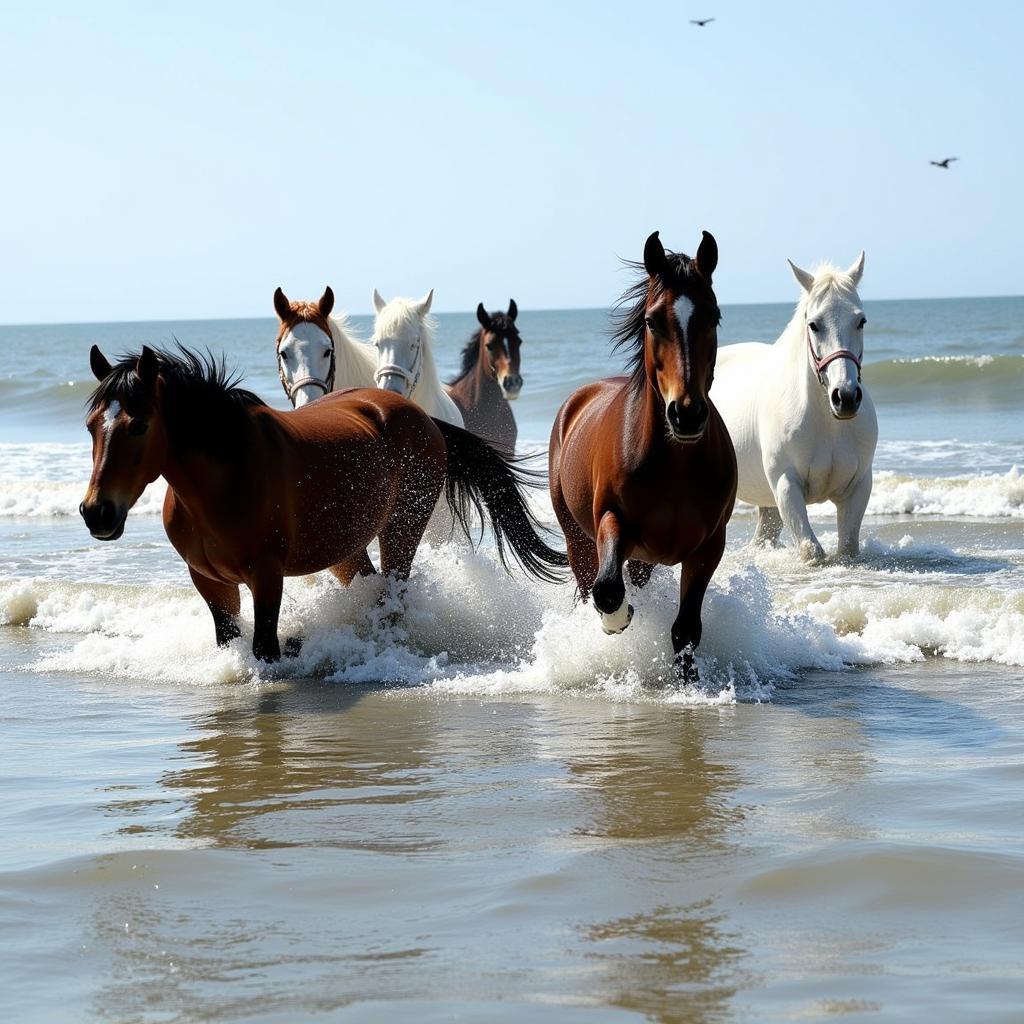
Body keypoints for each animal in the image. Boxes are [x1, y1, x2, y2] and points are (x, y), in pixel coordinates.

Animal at [81, 346, 569, 663]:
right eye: (90, 426)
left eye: (140, 425)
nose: (97, 512)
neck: (224, 478)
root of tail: (421, 417)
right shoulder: (208, 581)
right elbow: (229, 640)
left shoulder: (267, 576)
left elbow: (264, 648)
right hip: (345, 550)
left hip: (403, 527)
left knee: (393, 596)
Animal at [552, 228, 737, 684]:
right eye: (653, 320)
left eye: (713, 316)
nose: (686, 413)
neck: (675, 465)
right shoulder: (611, 522)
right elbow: (606, 590)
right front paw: (618, 620)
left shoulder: (709, 545)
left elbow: (686, 628)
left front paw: (688, 683)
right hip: (577, 537)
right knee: (588, 585)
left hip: (645, 559)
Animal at [712, 252, 880, 565]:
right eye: (814, 324)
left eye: (861, 321)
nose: (845, 397)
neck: (827, 423)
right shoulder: (786, 484)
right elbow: (811, 550)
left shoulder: (858, 486)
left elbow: (848, 547)